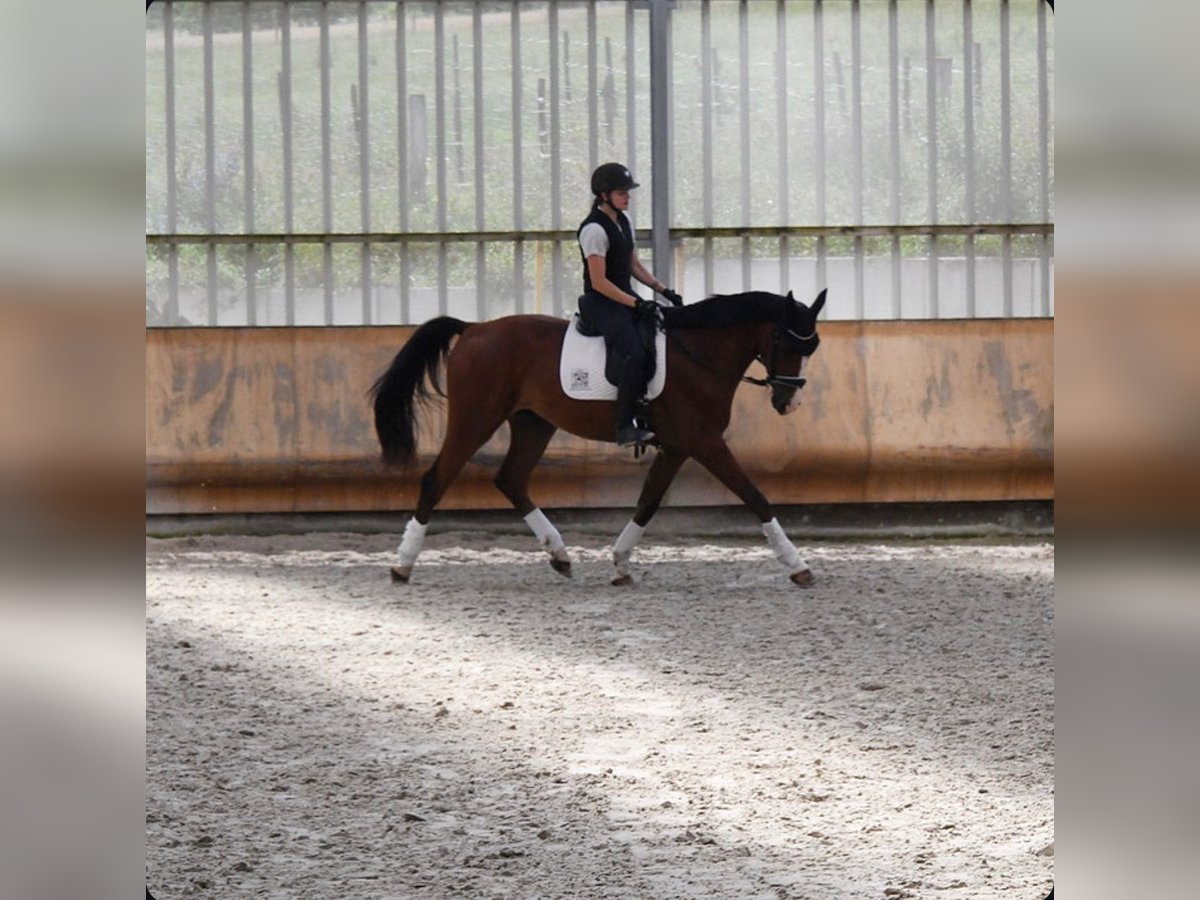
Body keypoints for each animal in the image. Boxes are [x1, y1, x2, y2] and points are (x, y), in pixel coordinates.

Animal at [372, 286, 825, 585]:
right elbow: (755, 495)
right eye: (786, 341)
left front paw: (621, 563)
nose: (789, 402)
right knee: (437, 478)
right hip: (475, 419)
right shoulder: (705, 443)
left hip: (533, 422)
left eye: (812, 346)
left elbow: (648, 502)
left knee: (511, 479)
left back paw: (559, 555)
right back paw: (402, 565)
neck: (698, 355)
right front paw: (797, 564)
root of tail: (473, 329)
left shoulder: (678, 447)